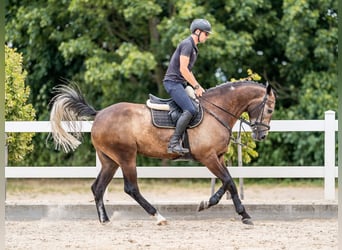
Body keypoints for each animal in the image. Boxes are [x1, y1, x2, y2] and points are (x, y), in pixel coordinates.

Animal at [50, 81, 276, 226]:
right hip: (126, 157)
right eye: (270, 110)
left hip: (109, 161)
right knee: (131, 188)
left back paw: (105, 220)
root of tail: (99, 114)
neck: (217, 111)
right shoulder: (208, 157)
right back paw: (158, 216)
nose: (261, 135)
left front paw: (206, 203)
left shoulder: (217, 157)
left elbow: (226, 182)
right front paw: (244, 215)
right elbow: (229, 181)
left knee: (97, 187)